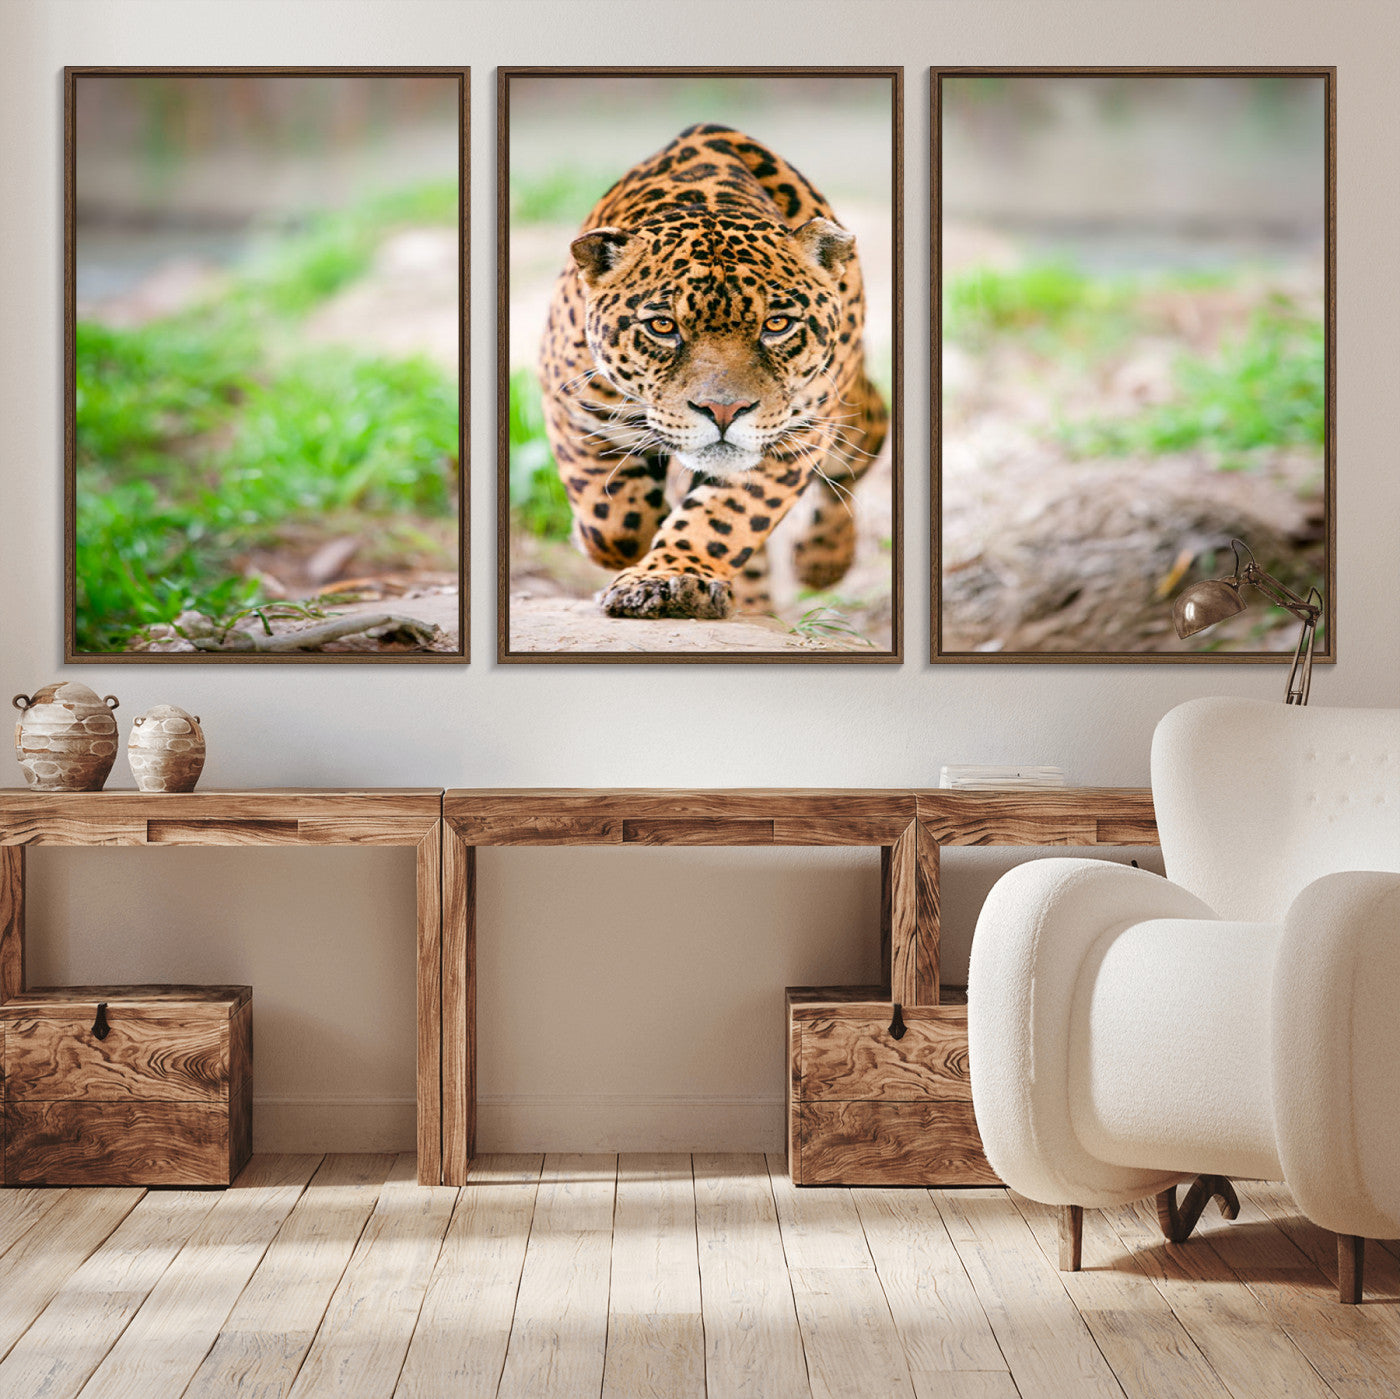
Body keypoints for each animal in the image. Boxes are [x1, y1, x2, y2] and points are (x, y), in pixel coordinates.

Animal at [536, 123, 889, 621]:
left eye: (776, 325)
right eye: (663, 326)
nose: (724, 411)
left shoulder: (794, 436)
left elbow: (725, 517)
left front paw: (669, 577)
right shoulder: (574, 404)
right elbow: (612, 520)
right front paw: (631, 547)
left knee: (862, 444)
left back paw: (822, 560)